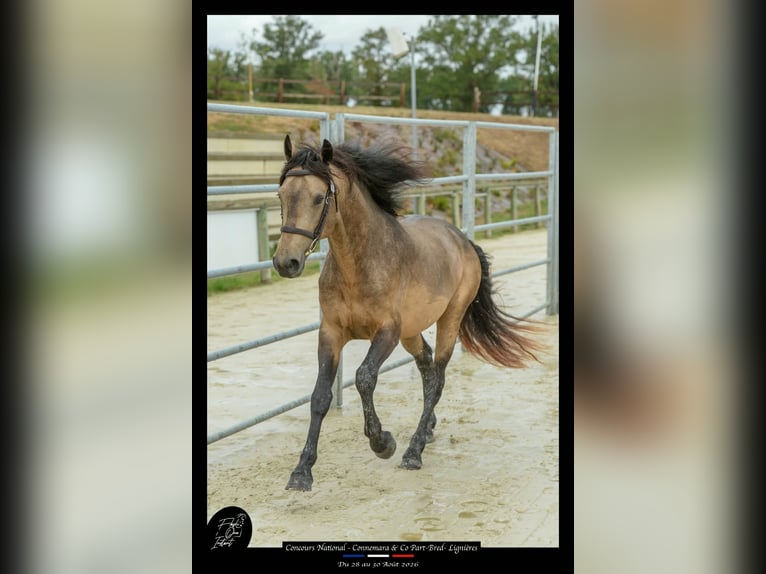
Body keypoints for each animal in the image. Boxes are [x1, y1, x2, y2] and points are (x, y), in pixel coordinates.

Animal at [272, 134, 545, 491]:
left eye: (319, 198)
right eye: (281, 195)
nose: (285, 263)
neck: (359, 264)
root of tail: (463, 241)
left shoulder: (386, 331)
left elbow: (364, 378)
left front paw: (382, 442)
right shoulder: (330, 332)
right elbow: (319, 396)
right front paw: (301, 472)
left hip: (449, 320)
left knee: (437, 378)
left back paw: (413, 451)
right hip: (412, 331)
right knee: (426, 367)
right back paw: (427, 430)